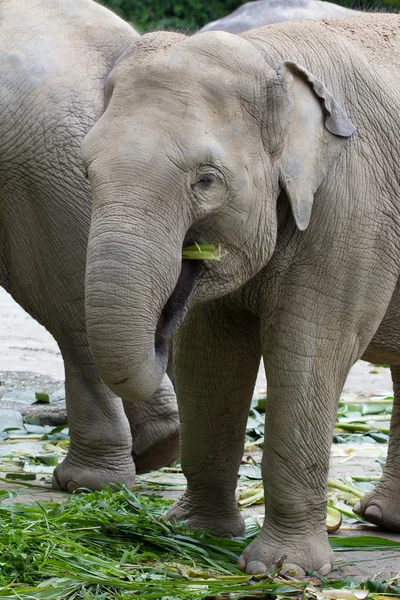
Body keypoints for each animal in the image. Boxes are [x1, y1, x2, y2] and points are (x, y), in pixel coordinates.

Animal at [80, 14, 400, 576]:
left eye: (207, 181)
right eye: (85, 170)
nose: (188, 263)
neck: (270, 52)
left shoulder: (356, 210)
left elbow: (309, 353)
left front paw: (283, 569)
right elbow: (208, 359)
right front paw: (192, 533)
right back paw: (383, 519)